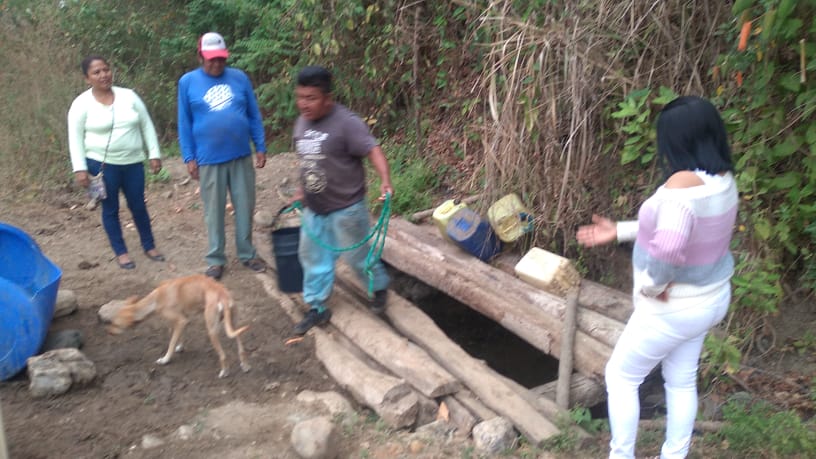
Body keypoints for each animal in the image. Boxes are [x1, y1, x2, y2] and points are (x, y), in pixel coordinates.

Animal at [108, 274, 251, 378]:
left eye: (115, 323)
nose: (109, 331)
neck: (155, 299)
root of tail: (222, 295)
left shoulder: (180, 321)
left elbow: (171, 343)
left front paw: (165, 360)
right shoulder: (182, 320)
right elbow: (178, 336)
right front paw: (180, 347)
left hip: (212, 330)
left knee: (223, 355)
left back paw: (224, 372)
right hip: (233, 324)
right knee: (241, 347)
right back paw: (245, 366)